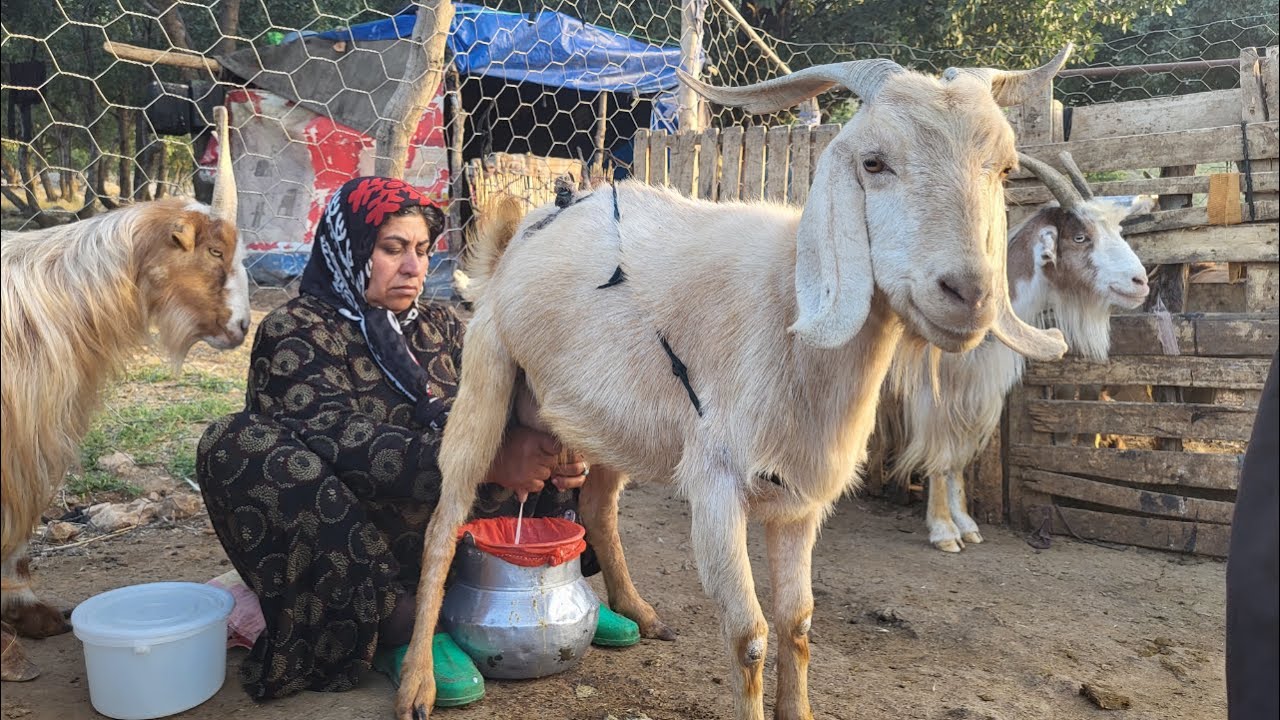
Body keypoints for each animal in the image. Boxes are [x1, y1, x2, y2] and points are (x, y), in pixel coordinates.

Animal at [395, 47, 1074, 720]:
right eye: (873, 163)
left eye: (1004, 169)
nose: (970, 294)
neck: (787, 310)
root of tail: (519, 231)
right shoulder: (717, 483)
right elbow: (750, 635)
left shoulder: (800, 499)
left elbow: (798, 622)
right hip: (487, 374)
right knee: (443, 521)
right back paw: (418, 685)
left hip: (611, 420)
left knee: (597, 505)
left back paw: (638, 611)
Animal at [876, 151, 1151, 553]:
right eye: (1080, 237)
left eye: (1116, 231)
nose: (1140, 282)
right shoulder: (933, 395)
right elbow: (939, 456)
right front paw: (944, 531)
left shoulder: (974, 393)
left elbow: (958, 458)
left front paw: (967, 525)